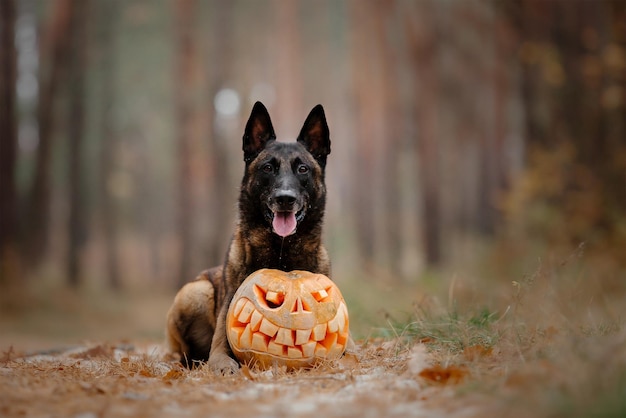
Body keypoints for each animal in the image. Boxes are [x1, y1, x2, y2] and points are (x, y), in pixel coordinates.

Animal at [165, 102, 346, 376]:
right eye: (267, 168)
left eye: (303, 169)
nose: (285, 198)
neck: (281, 254)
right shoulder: (220, 342)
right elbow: (219, 356)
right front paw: (225, 367)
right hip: (194, 292)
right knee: (183, 353)